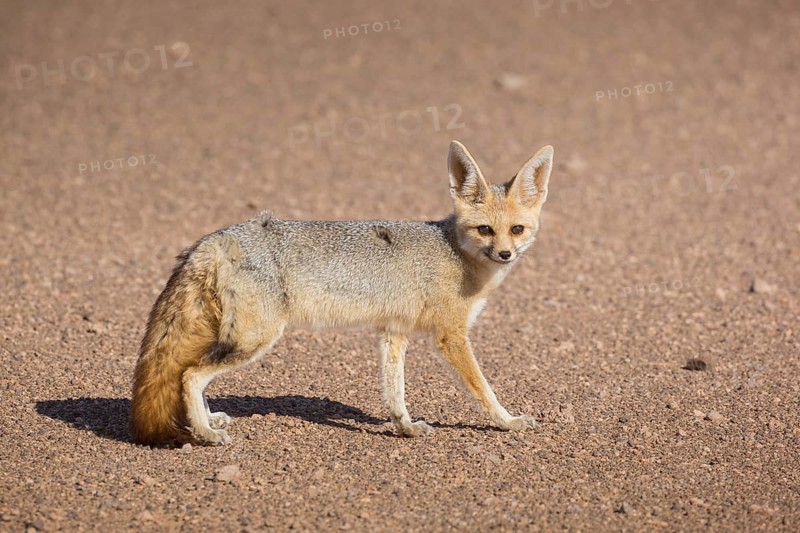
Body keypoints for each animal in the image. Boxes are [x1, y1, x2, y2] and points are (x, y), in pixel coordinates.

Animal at [130, 141, 554, 446]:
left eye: (516, 229)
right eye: (485, 230)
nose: (505, 254)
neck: (455, 252)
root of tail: (218, 237)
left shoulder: (393, 332)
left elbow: (394, 391)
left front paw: (405, 427)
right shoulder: (451, 337)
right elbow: (484, 389)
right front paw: (508, 421)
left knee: (190, 373)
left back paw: (206, 420)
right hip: (256, 339)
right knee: (190, 375)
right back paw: (205, 433)